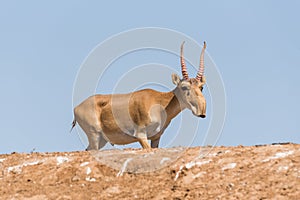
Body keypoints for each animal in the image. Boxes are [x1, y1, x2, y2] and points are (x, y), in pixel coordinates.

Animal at [71, 41, 206, 149]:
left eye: (201, 87)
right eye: (184, 87)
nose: (202, 112)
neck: (159, 102)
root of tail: (77, 107)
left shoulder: (156, 138)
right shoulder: (141, 135)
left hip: (101, 140)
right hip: (94, 136)